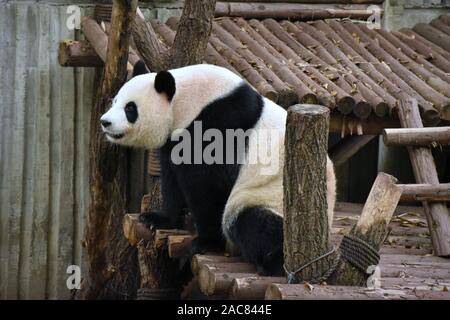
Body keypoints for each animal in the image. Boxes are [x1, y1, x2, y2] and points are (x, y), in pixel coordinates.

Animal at [101, 60, 334, 276]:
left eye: (130, 108)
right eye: (115, 101)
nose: (105, 122)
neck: (186, 102)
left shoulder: (218, 125)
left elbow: (207, 187)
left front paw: (204, 242)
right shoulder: (176, 139)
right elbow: (172, 178)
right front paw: (157, 218)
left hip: (270, 197)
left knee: (256, 224)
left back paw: (273, 263)